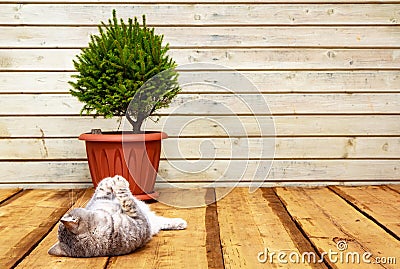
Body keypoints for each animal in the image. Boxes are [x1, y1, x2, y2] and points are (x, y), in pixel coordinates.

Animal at [48, 175, 188, 256]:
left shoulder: (99, 200)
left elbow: (102, 188)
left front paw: (111, 180)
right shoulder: (139, 221)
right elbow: (126, 199)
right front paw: (118, 181)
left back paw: (179, 222)